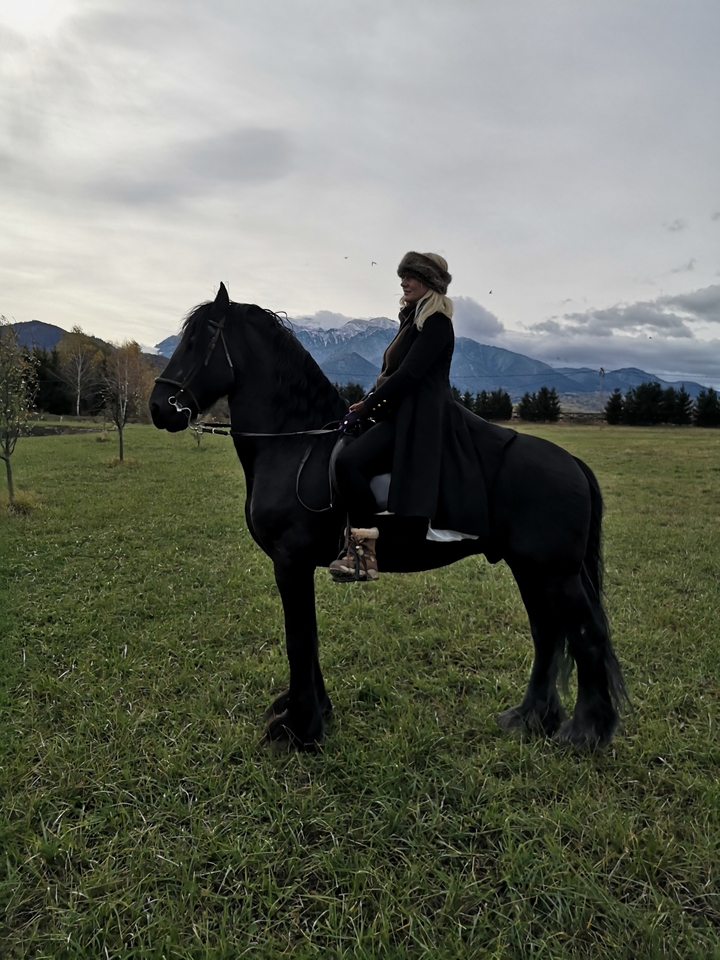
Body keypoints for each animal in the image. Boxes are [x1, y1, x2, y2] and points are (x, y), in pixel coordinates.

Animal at [149, 283, 627, 752]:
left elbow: (298, 638)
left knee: (587, 636)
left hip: (556, 573)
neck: (295, 446)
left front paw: (299, 728)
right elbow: (310, 637)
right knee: (547, 633)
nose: (158, 408)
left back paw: (585, 733)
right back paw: (530, 718)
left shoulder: (290, 563)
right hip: (531, 569)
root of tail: (573, 464)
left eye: (197, 340)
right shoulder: (297, 567)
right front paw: (315, 713)